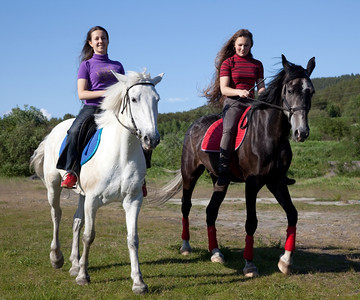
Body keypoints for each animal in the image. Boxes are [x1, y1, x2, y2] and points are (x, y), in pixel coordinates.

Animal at [30, 69, 165, 292]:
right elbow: (89, 235)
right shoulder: (93, 200)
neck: (121, 154)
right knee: (56, 214)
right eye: (134, 99)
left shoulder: (133, 200)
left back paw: (74, 263)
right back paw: (56, 258)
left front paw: (138, 282)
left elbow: (132, 238)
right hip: (53, 186)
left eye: (157, 99)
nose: (151, 139)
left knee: (76, 221)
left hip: (82, 195)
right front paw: (83, 276)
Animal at [155, 55, 316, 278]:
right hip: (190, 174)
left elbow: (292, 214)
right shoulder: (252, 183)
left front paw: (285, 262)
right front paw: (249, 265)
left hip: (219, 181)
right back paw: (186, 247)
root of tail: (194, 125)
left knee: (211, 211)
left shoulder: (276, 182)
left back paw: (215, 253)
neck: (269, 134)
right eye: (290, 90)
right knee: (186, 206)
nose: (302, 132)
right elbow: (251, 222)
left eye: (311, 91)